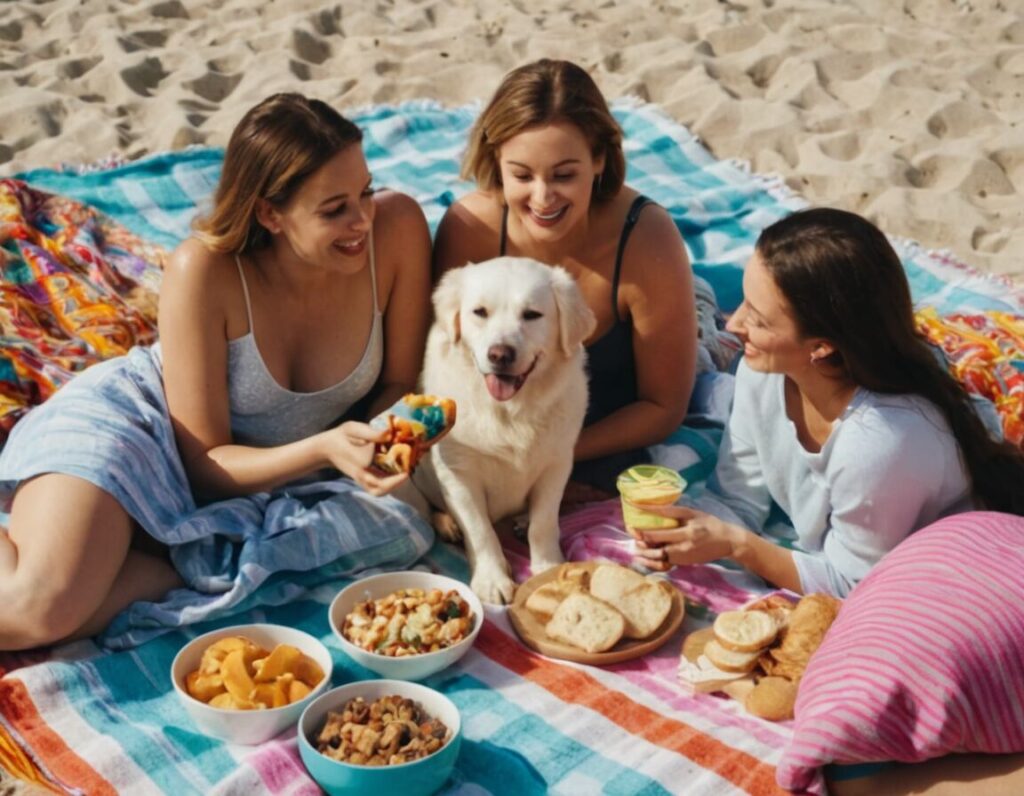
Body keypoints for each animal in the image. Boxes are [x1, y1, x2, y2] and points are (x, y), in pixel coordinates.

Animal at [411, 259, 598, 602]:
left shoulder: (557, 463)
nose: (500, 354)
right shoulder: (459, 473)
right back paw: (446, 524)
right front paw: (492, 580)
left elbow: (544, 521)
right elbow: (480, 530)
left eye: (532, 315)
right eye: (480, 312)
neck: (510, 413)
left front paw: (548, 566)